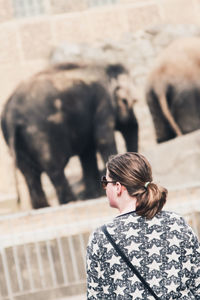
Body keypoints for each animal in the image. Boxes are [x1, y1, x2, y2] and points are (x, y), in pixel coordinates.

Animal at [1, 62, 139, 209]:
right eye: (129, 102)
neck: (107, 67)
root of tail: (10, 115)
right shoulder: (103, 102)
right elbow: (102, 140)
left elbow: (87, 152)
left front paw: (92, 196)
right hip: (39, 132)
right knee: (52, 165)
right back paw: (70, 201)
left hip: (15, 140)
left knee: (28, 172)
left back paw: (43, 206)